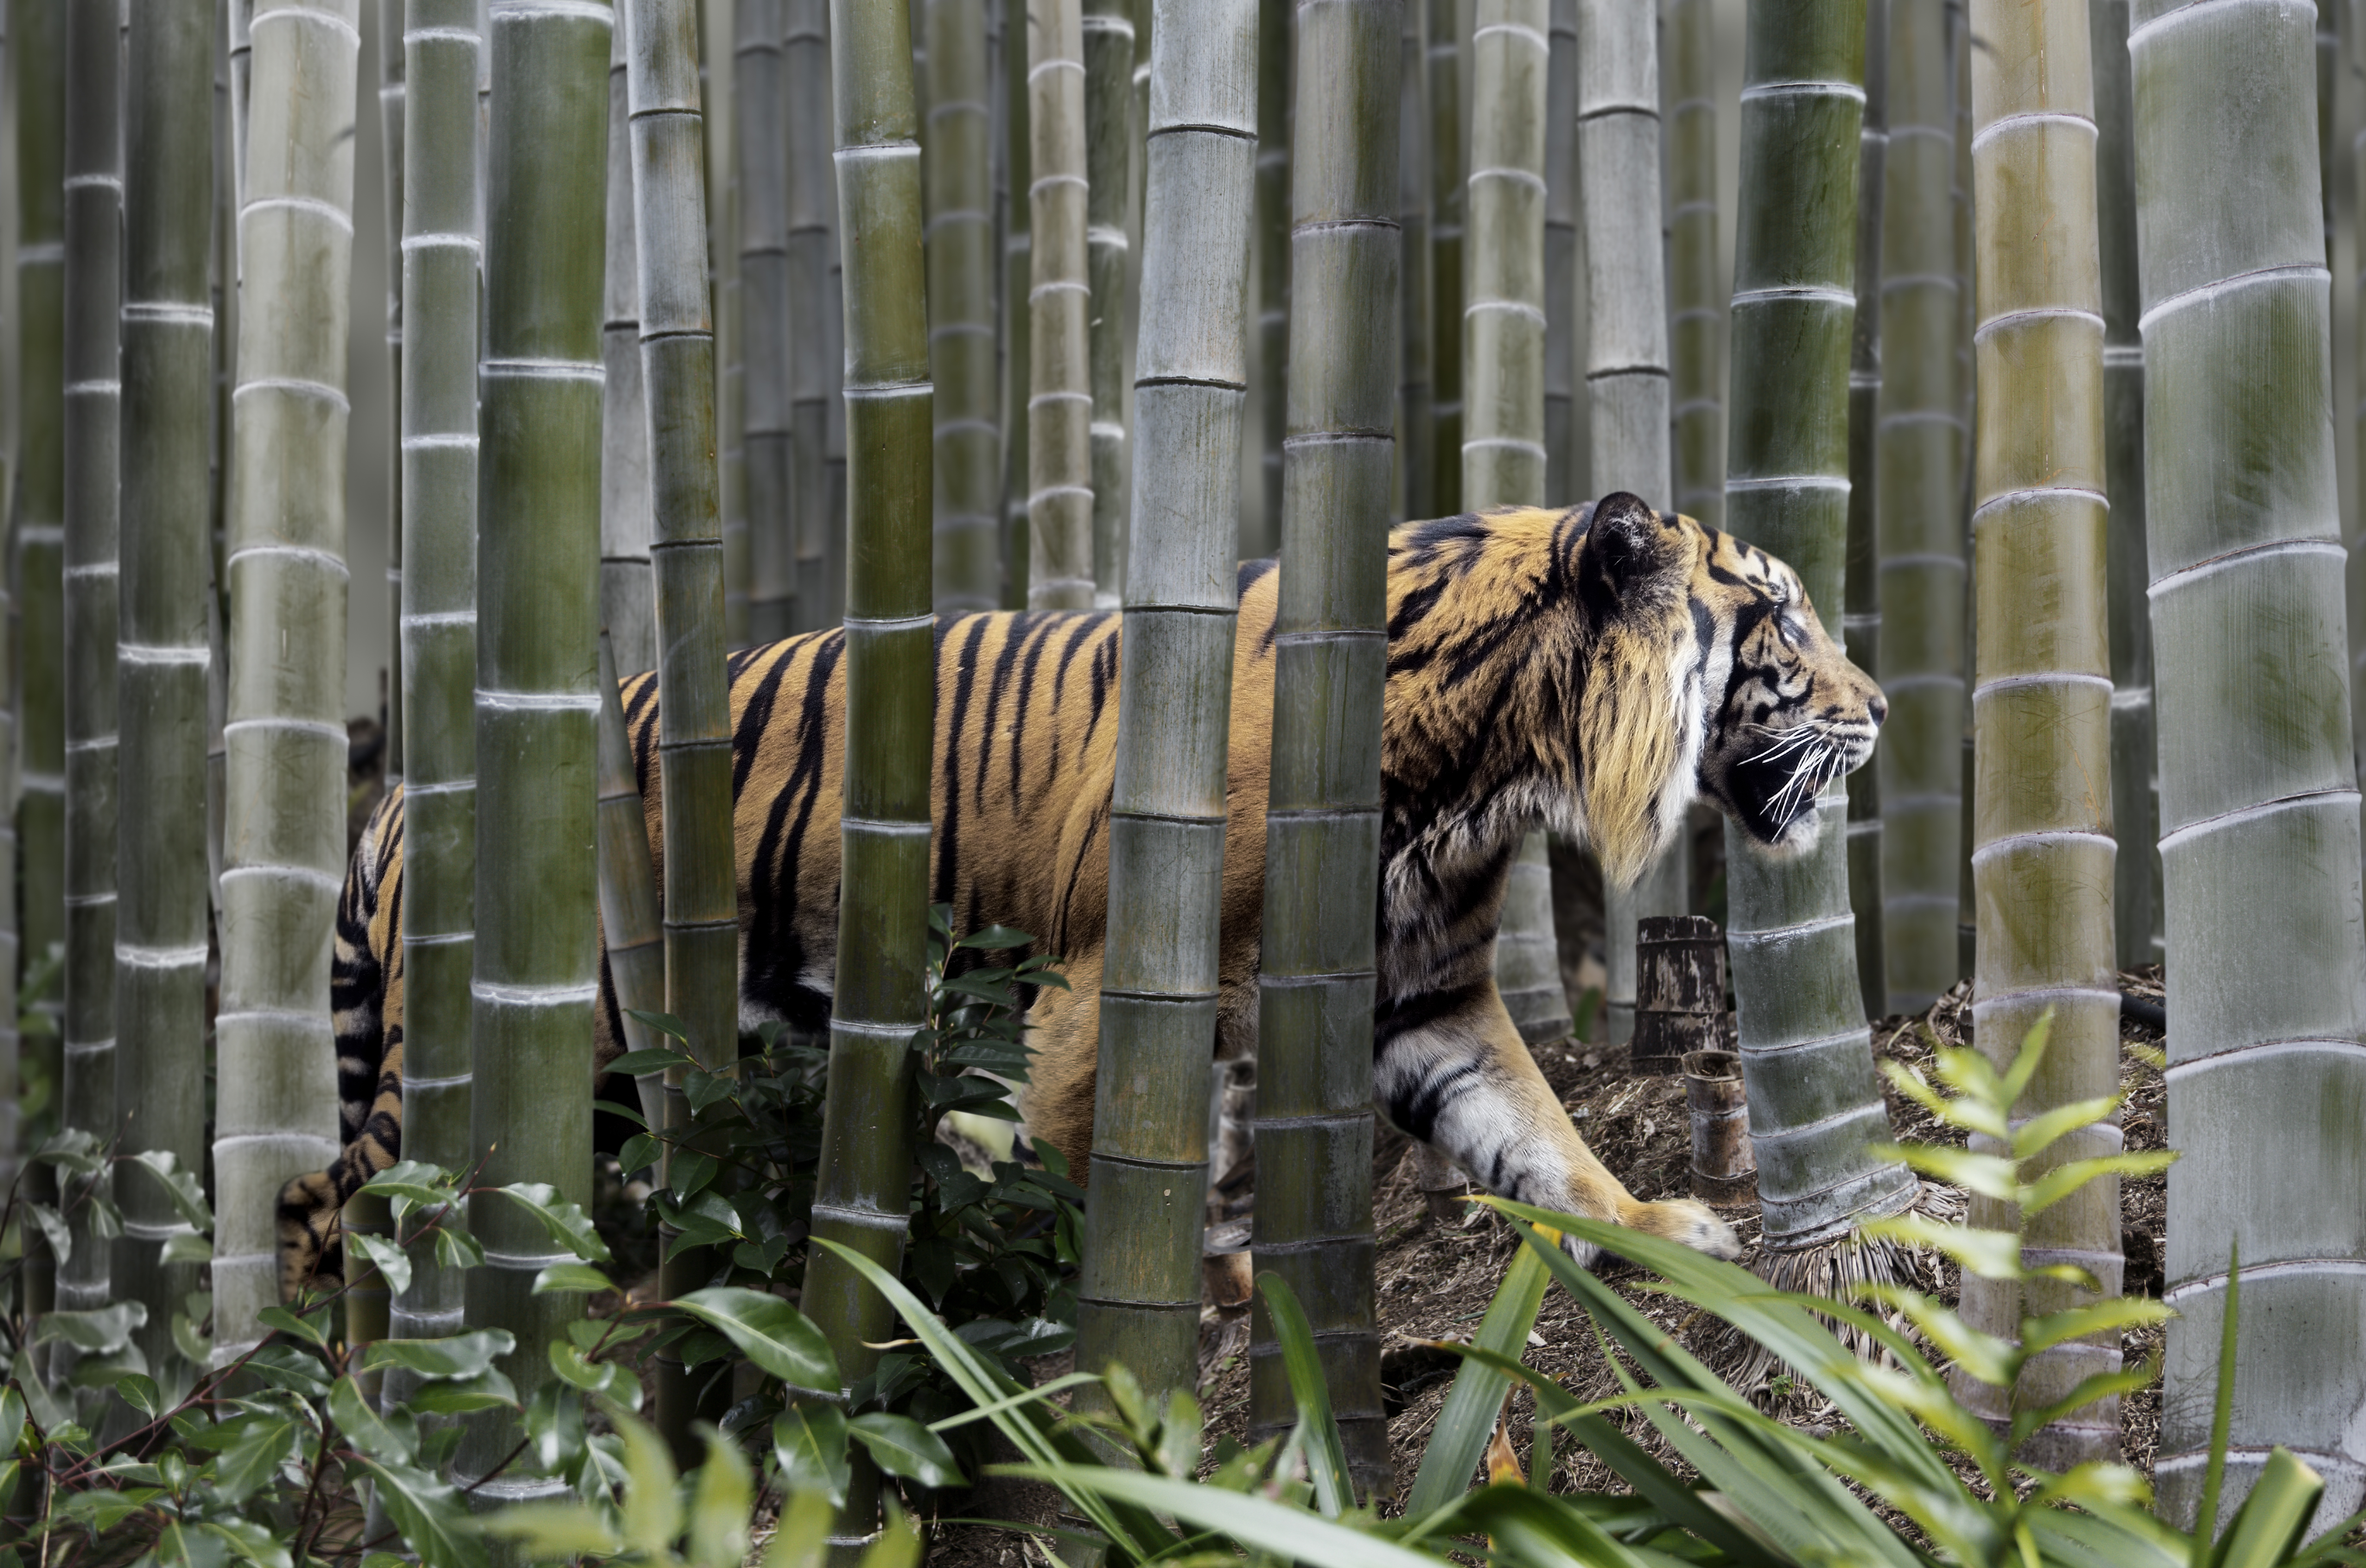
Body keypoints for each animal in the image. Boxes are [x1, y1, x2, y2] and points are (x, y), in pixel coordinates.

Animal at [282, 493, 1888, 1293]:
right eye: (1782, 619)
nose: (1880, 710)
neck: (1493, 751)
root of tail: (399, 802)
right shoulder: (1105, 971)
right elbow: (1077, 1170)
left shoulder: (1422, 987)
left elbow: (1537, 1134)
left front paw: (1662, 1222)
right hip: (513, 1045)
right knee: (327, 1211)